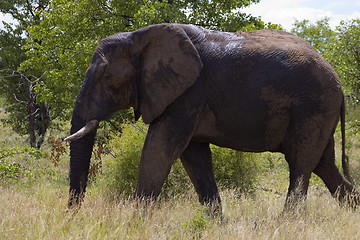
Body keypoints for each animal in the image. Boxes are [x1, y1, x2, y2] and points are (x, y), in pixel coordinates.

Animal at [64, 23, 360, 211]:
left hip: (313, 105)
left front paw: (136, 224)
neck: (139, 36)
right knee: (323, 164)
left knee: (300, 163)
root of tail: (338, 82)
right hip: (319, 110)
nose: (74, 214)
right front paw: (215, 224)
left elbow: (159, 151)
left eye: (107, 77)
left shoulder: (189, 93)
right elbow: (194, 157)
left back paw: (286, 223)